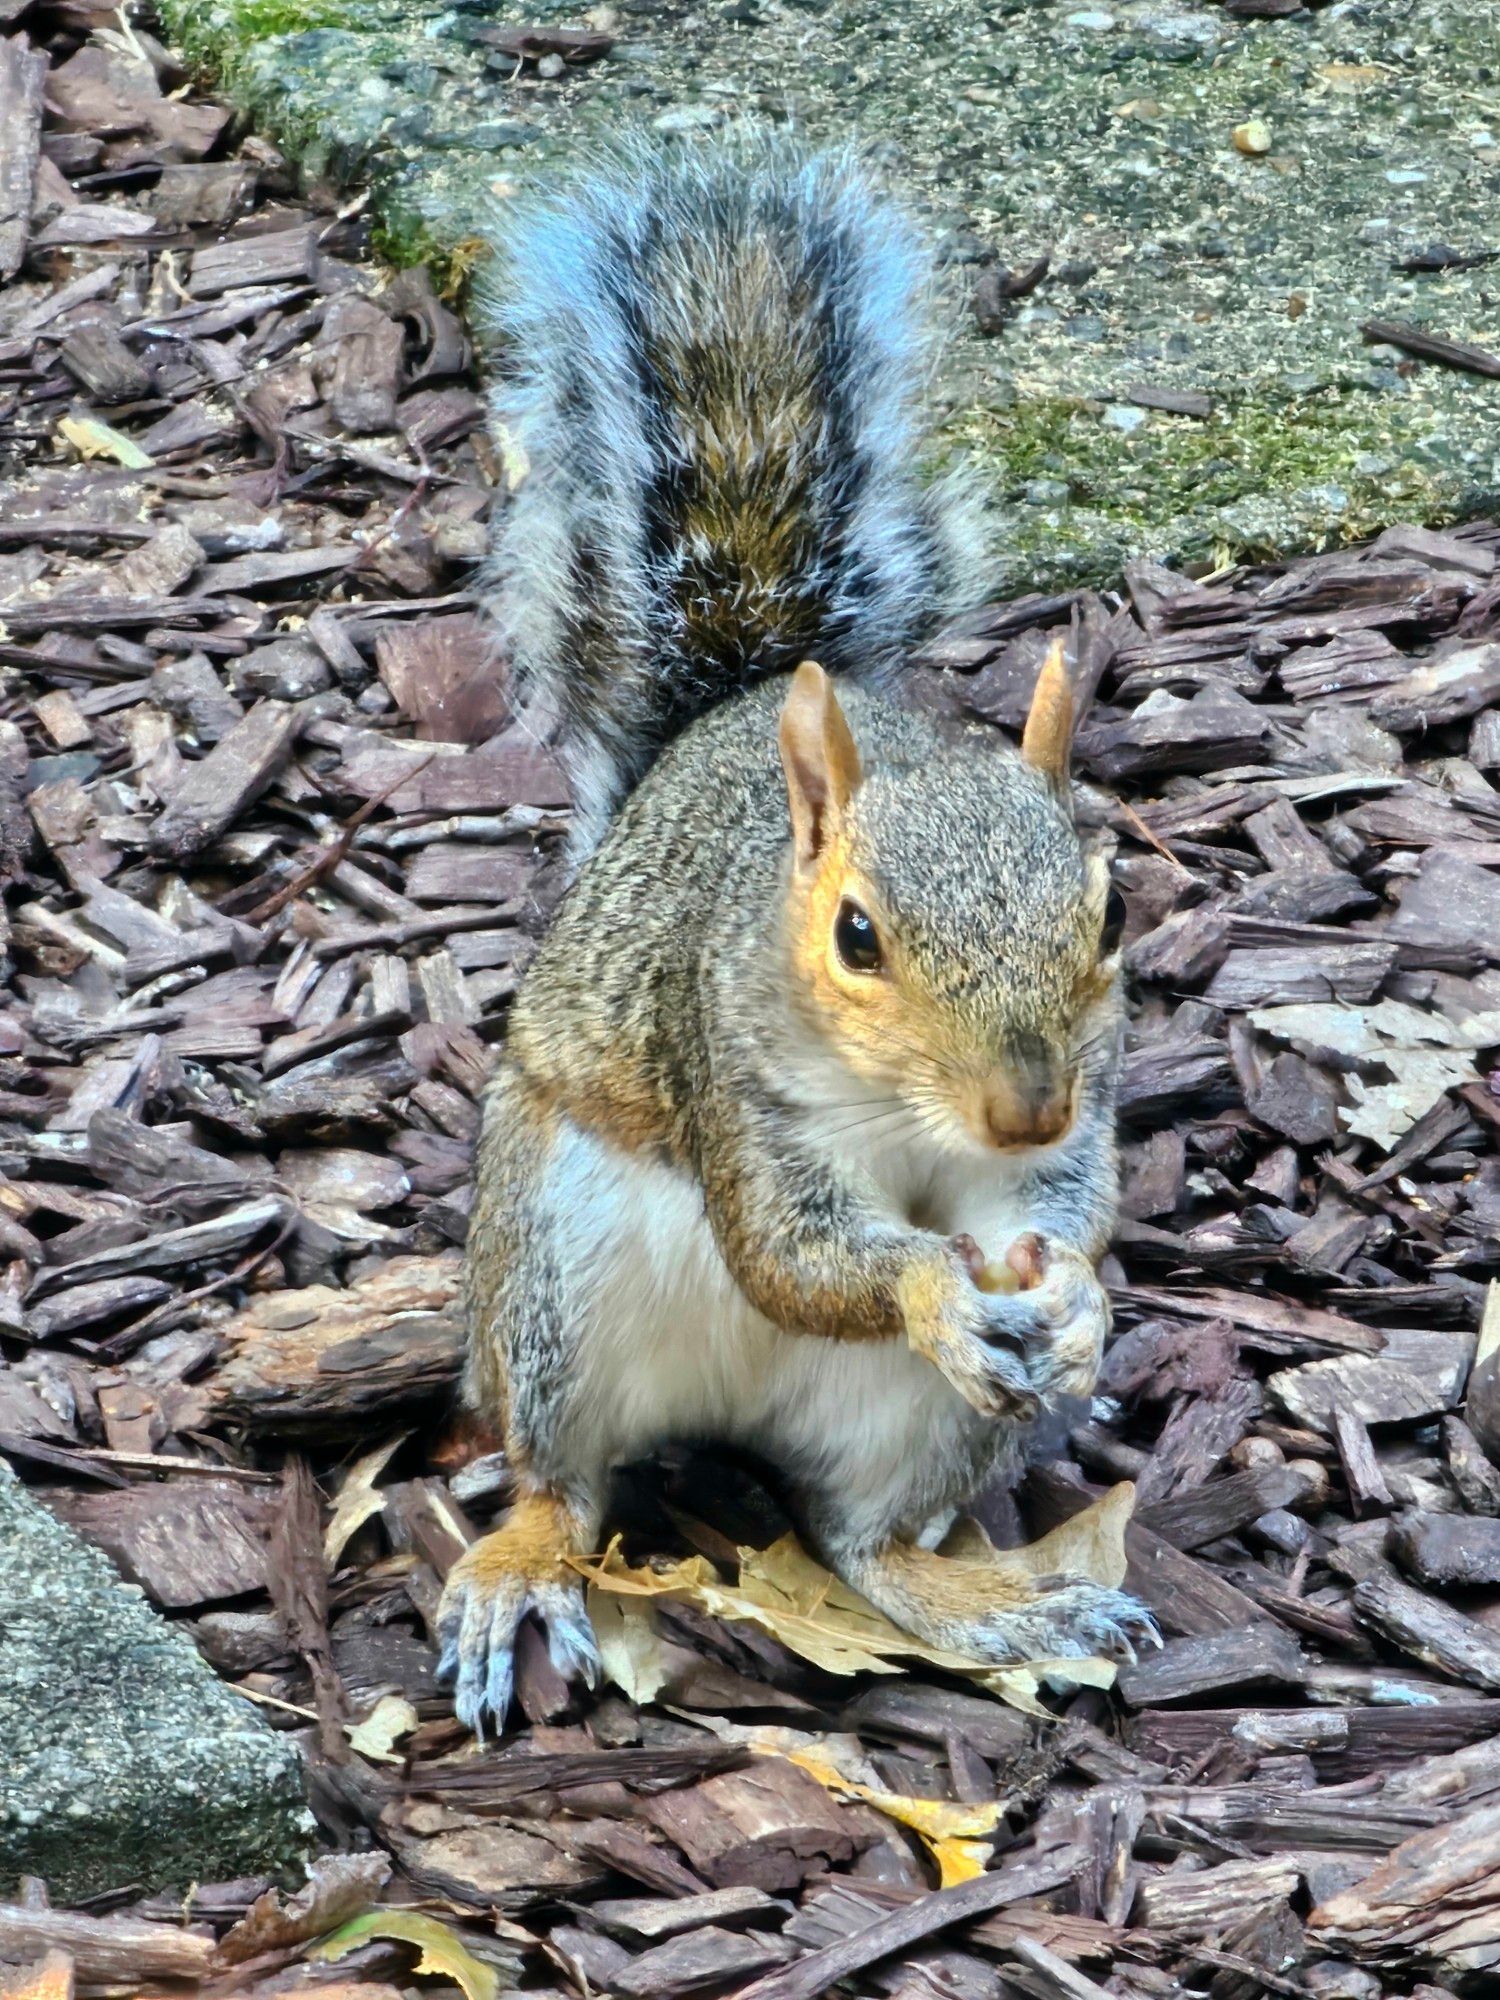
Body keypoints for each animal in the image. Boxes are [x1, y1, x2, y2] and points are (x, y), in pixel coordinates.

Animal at [440, 141, 1160, 1736]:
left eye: (1114, 908)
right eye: (856, 935)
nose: (1025, 1107)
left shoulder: (1070, 1134)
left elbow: (1072, 1215)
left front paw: (1077, 1305)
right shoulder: (728, 1078)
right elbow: (792, 1253)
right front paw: (926, 1287)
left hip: (910, 1430)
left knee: (864, 1545)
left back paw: (996, 1599)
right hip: (552, 1278)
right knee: (560, 1482)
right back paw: (522, 1567)